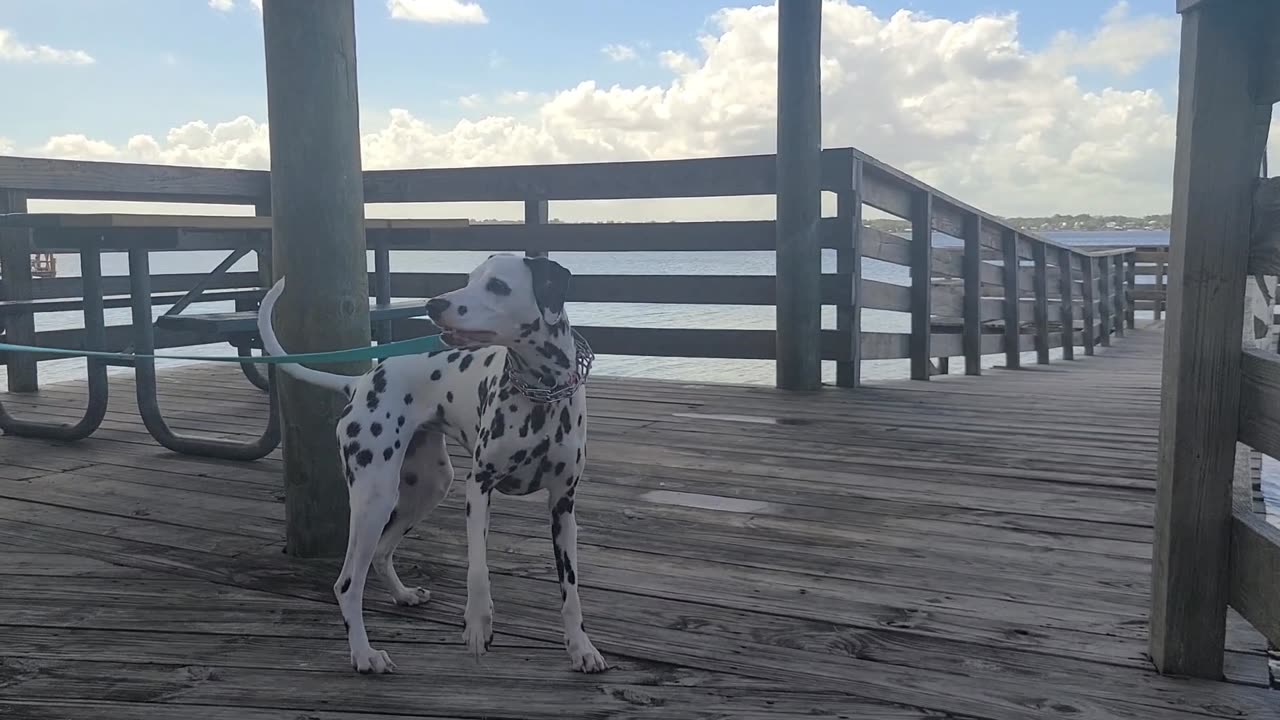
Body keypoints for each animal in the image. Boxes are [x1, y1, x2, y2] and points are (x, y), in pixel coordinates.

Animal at [257, 251, 606, 671]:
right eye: (469, 279)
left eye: (498, 286)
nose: (434, 305)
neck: (540, 395)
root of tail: (360, 383)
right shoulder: (478, 489)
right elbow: (478, 569)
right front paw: (477, 623)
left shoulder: (563, 507)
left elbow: (570, 590)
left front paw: (581, 646)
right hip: (374, 498)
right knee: (347, 584)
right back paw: (364, 653)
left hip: (428, 487)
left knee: (381, 553)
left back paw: (402, 595)